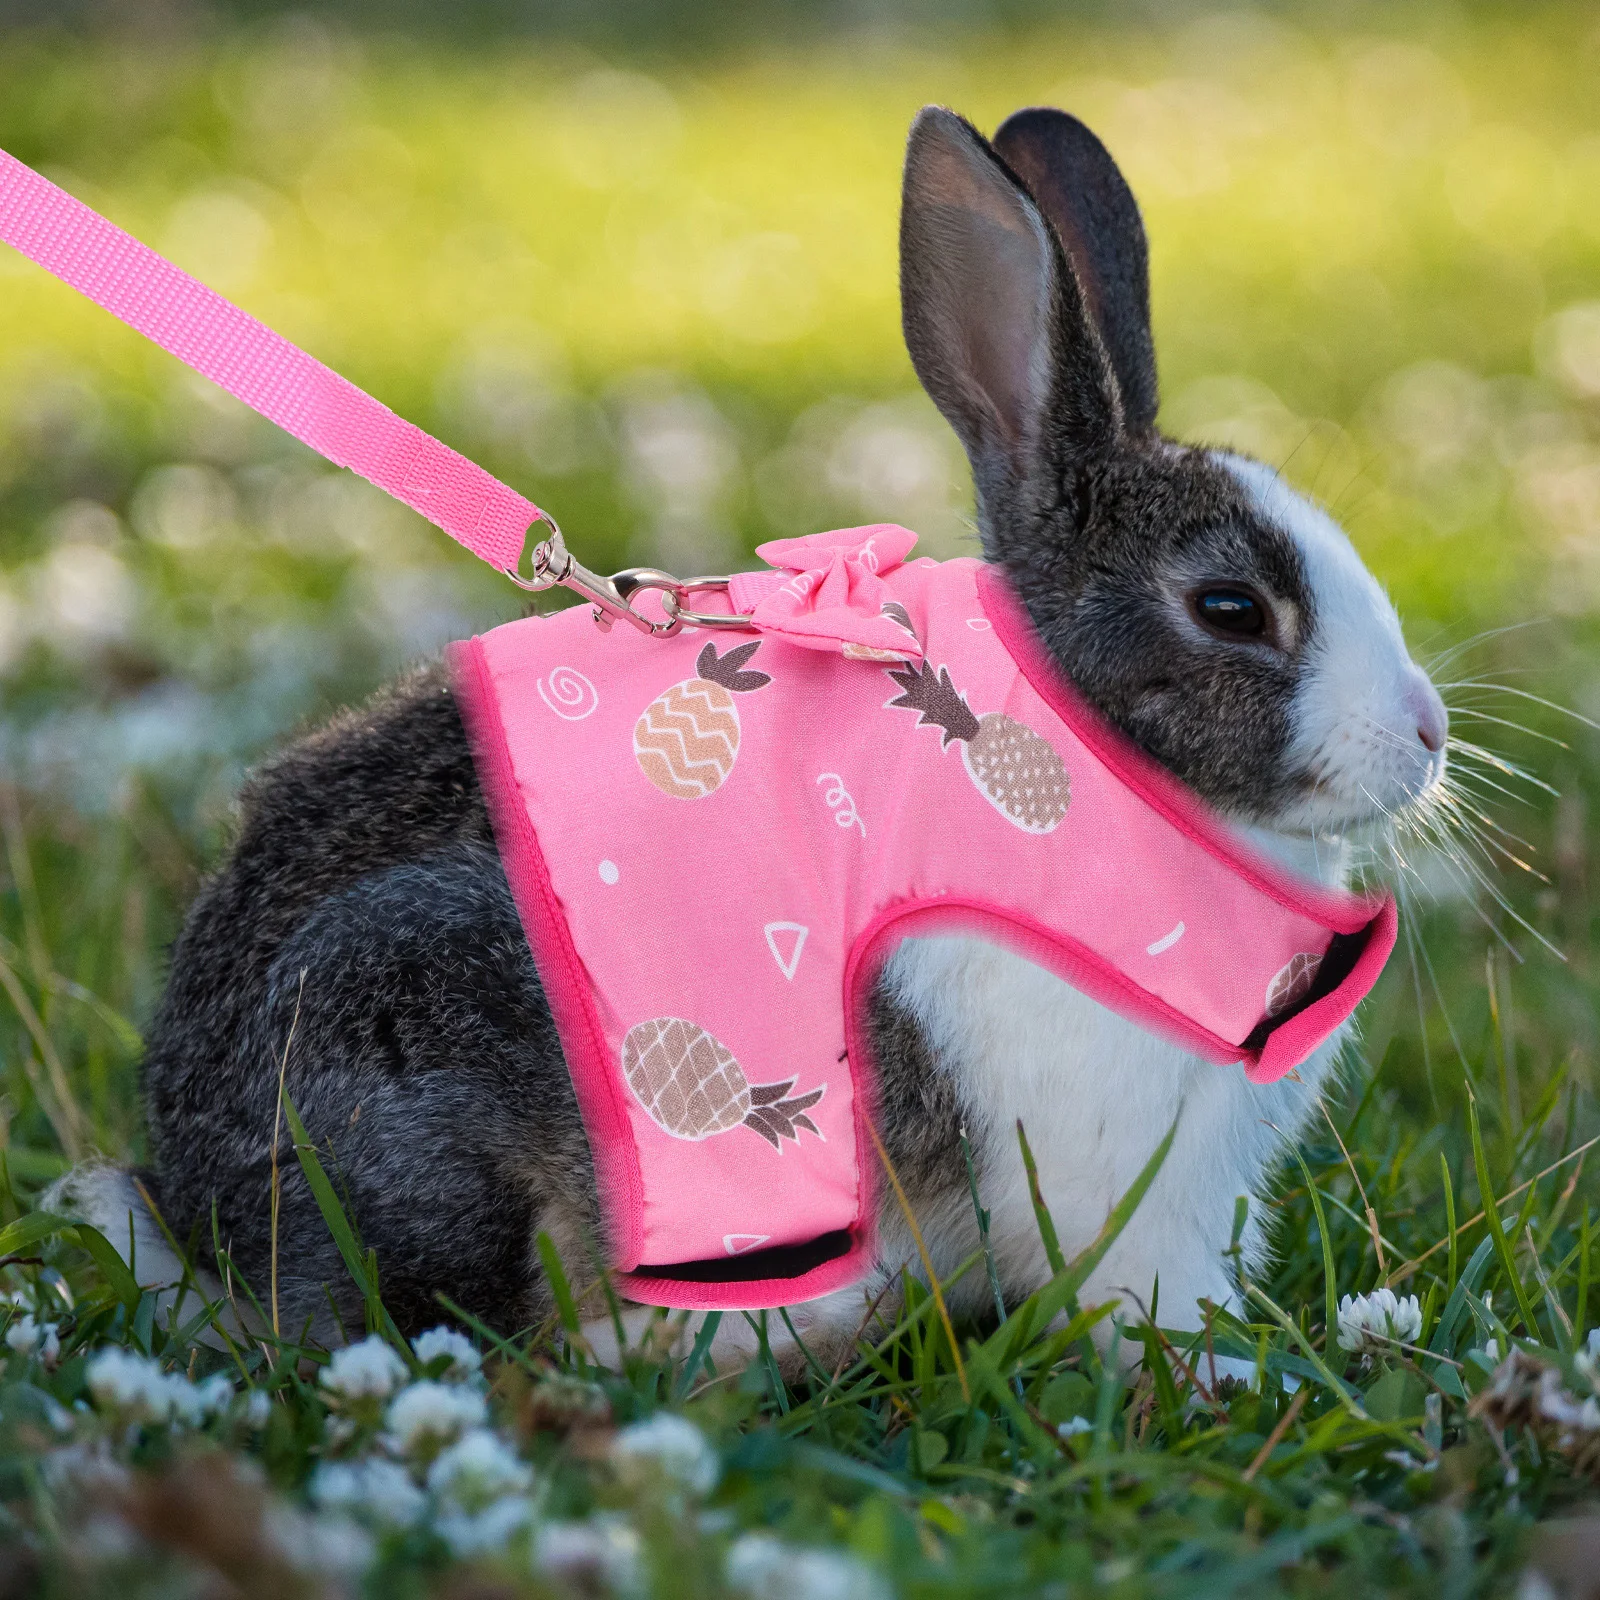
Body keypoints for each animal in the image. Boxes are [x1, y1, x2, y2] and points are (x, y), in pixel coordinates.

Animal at [55, 105, 1448, 1379]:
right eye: (1230, 608)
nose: (1428, 734)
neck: (1098, 753)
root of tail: (196, 1214)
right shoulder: (1121, 1169)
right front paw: (1222, 1378)